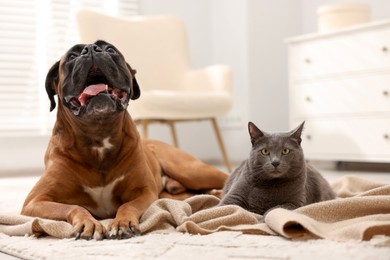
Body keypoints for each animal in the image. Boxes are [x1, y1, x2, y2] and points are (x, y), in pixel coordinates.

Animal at [21, 39, 227, 241]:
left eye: (110, 49)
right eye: (72, 56)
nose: (91, 50)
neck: (98, 135)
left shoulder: (145, 192)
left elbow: (128, 205)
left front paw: (122, 223)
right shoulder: (35, 201)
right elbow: (74, 207)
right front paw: (89, 223)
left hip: (192, 171)